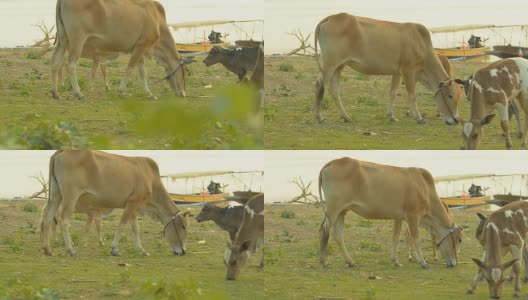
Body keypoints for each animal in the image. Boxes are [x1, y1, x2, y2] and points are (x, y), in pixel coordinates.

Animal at [40, 151, 191, 256]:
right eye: (183, 226)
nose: (183, 251)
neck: (151, 179)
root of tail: (62, 151)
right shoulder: (132, 203)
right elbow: (122, 225)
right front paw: (114, 249)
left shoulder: (133, 206)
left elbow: (136, 229)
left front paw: (142, 251)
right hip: (71, 197)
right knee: (63, 220)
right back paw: (70, 250)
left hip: (56, 195)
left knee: (47, 219)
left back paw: (48, 250)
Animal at [50, 0, 192, 101]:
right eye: (185, 70)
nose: (184, 93)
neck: (158, 20)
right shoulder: (142, 46)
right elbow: (129, 68)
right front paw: (122, 92)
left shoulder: (139, 48)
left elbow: (143, 73)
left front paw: (150, 94)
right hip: (77, 39)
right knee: (70, 65)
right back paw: (78, 93)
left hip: (63, 39)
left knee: (55, 62)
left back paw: (56, 93)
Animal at [314, 13, 462, 124]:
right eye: (450, 96)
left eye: (458, 97)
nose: (455, 120)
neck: (422, 44)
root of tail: (329, 18)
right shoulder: (408, 70)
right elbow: (412, 95)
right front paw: (419, 117)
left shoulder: (397, 73)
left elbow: (393, 93)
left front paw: (391, 116)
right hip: (330, 64)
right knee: (320, 86)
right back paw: (319, 117)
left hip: (338, 66)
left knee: (334, 90)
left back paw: (346, 117)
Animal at [318, 157, 462, 270]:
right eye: (459, 239)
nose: (455, 263)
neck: (425, 189)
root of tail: (333, 162)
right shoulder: (413, 216)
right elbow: (417, 239)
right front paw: (423, 262)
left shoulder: (398, 217)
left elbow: (396, 238)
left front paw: (395, 261)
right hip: (333, 210)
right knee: (324, 231)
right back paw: (324, 262)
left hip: (342, 211)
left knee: (338, 235)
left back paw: (351, 262)